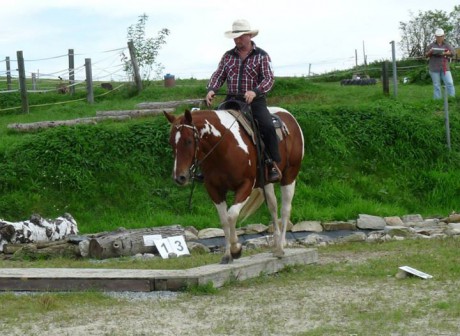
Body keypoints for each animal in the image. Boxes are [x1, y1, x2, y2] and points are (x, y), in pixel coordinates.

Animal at [164, 107, 304, 266]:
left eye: (188, 141)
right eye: (171, 142)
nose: (179, 177)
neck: (224, 147)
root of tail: (288, 114)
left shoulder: (246, 185)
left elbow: (231, 215)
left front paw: (236, 249)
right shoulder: (214, 190)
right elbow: (224, 220)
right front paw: (227, 255)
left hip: (289, 176)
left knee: (285, 209)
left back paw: (281, 247)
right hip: (266, 183)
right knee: (273, 207)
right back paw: (275, 244)